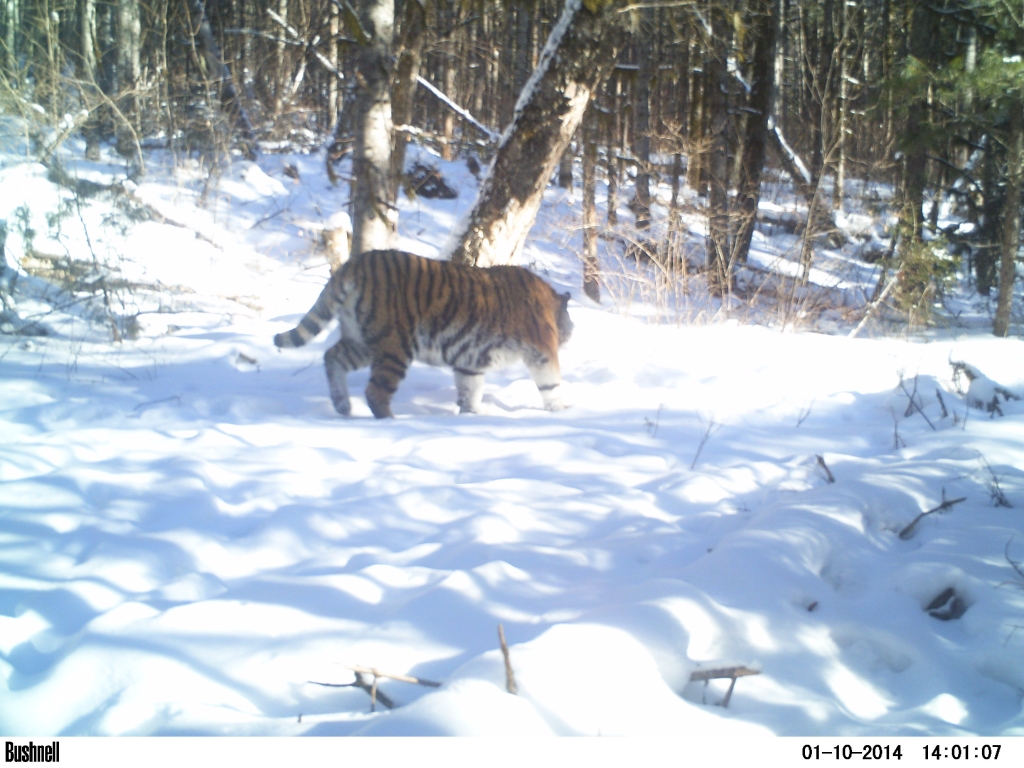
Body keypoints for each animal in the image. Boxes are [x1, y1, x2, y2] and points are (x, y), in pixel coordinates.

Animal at [276, 249, 573, 417]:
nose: (570, 334)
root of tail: (358, 261)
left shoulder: (470, 362)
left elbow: (470, 389)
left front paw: (471, 415)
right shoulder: (541, 350)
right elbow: (551, 385)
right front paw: (560, 412)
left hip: (361, 341)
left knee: (332, 357)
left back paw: (342, 406)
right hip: (394, 346)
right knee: (376, 392)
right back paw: (390, 422)